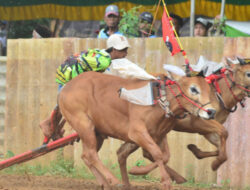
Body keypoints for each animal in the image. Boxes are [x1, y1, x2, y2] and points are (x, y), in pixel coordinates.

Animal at [58, 70, 217, 189]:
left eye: (209, 89)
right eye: (194, 89)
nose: (211, 111)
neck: (159, 100)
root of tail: (66, 87)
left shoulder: (159, 134)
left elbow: (164, 156)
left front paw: (136, 171)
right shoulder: (137, 133)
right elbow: (157, 154)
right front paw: (163, 181)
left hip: (97, 133)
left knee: (86, 155)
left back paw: (105, 183)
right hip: (85, 125)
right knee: (91, 154)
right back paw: (113, 180)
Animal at [119, 58, 250, 183]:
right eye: (248, 73)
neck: (218, 94)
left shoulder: (206, 130)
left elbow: (221, 148)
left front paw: (195, 150)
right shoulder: (199, 121)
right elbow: (224, 132)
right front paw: (214, 164)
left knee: (126, 152)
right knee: (144, 153)